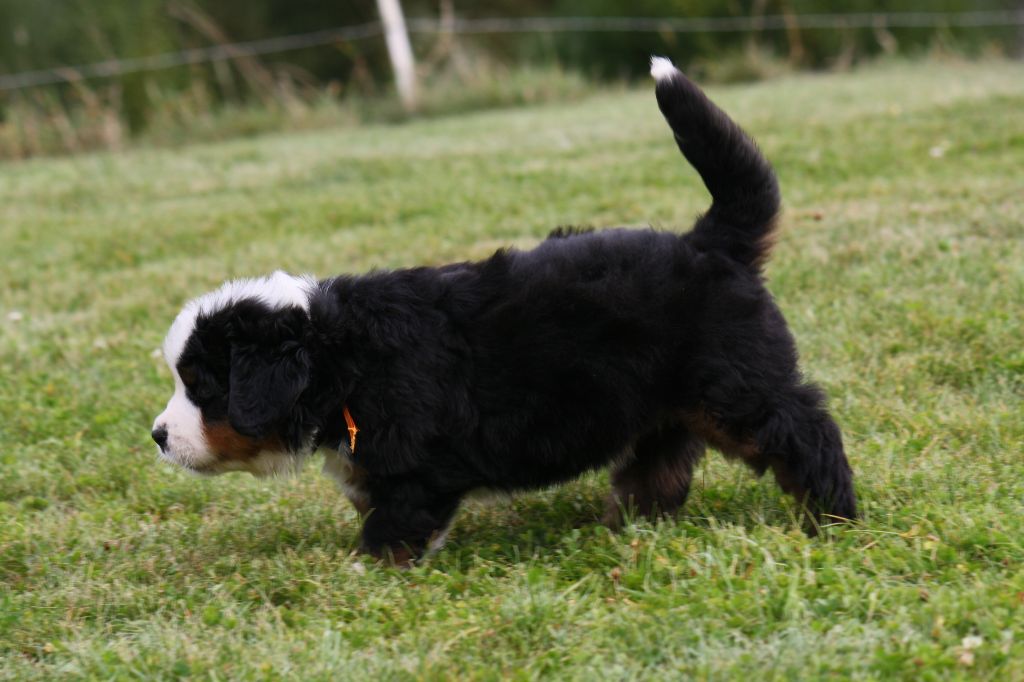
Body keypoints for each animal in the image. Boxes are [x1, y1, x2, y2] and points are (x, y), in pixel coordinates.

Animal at [152, 57, 856, 564]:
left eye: (202, 388)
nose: (157, 435)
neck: (343, 353)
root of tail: (709, 242)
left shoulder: (416, 470)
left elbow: (393, 528)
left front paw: (359, 574)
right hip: (660, 403)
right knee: (658, 464)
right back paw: (627, 527)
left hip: (733, 386)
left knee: (803, 428)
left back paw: (833, 515)